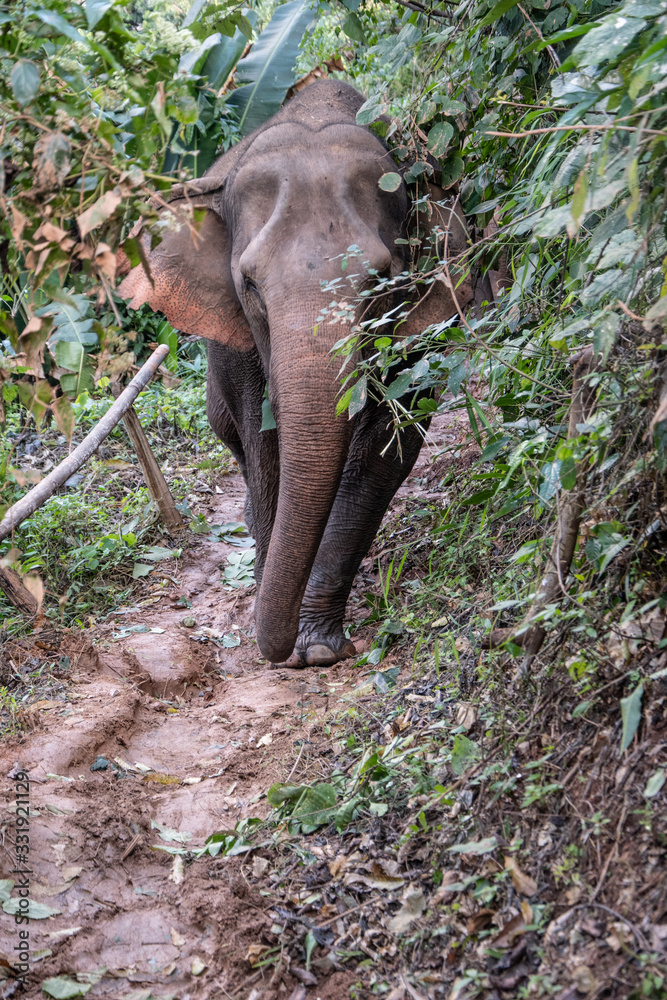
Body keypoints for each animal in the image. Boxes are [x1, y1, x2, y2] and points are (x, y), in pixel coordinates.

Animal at [119, 79, 473, 668]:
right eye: (251, 285)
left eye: (382, 282)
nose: (281, 650)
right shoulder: (236, 340)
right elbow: (266, 450)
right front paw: (281, 635)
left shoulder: (422, 328)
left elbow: (385, 449)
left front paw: (318, 649)